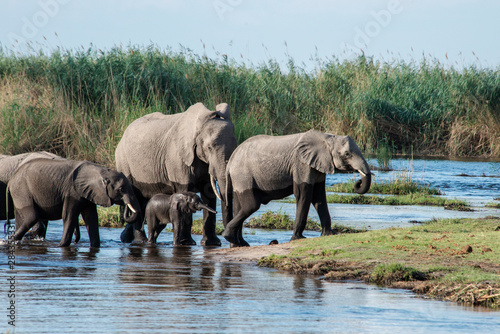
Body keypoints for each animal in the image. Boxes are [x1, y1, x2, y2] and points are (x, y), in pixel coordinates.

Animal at [116, 102, 237, 245]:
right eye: (209, 148)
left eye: (236, 146)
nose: (232, 243)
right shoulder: (177, 160)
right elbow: (185, 192)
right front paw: (187, 243)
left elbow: (209, 194)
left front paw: (211, 244)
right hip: (124, 163)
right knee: (136, 199)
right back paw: (140, 241)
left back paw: (127, 239)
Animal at [223, 129, 372, 247]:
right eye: (347, 154)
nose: (358, 182)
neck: (327, 137)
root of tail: (231, 160)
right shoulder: (301, 164)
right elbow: (303, 194)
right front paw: (298, 238)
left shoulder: (317, 165)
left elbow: (319, 197)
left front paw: (330, 234)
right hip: (243, 175)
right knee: (251, 205)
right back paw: (230, 238)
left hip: (239, 178)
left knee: (240, 206)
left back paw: (239, 244)